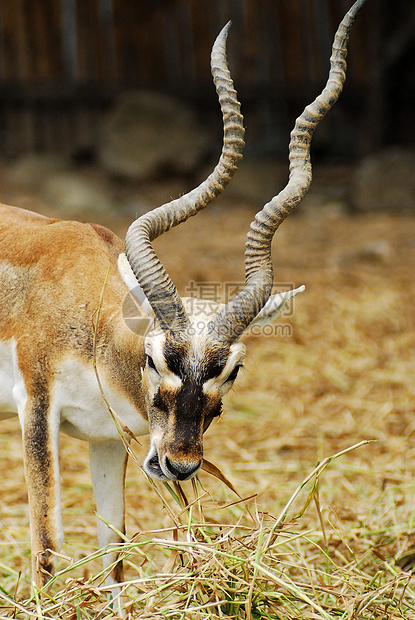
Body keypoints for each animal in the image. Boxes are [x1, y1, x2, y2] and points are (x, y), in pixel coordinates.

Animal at [0, 0, 366, 600]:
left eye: (232, 370)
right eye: (154, 358)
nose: (181, 465)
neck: (91, 320)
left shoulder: (110, 439)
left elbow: (115, 552)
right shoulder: (36, 409)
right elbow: (48, 548)